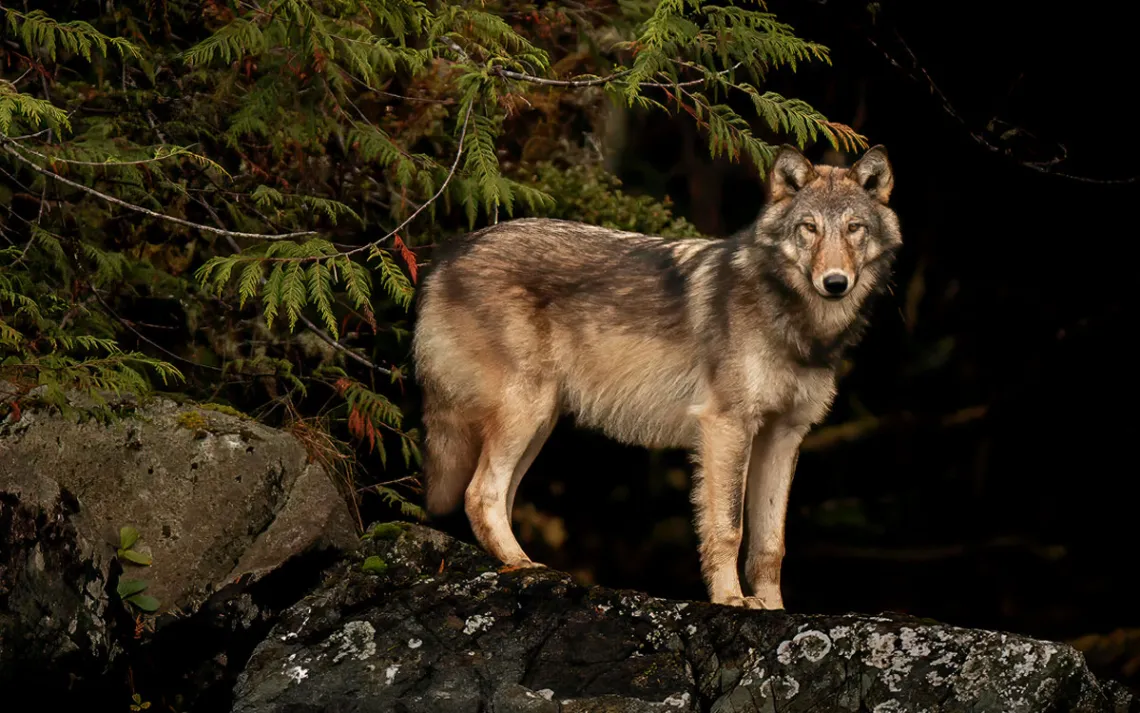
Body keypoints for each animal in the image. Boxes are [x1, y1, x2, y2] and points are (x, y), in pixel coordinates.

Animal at [411, 144, 901, 609]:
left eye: (854, 228)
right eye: (809, 228)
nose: (835, 282)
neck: (796, 324)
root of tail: (447, 253)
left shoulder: (783, 435)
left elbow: (770, 546)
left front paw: (773, 608)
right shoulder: (727, 426)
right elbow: (728, 529)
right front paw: (731, 600)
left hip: (540, 423)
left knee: (498, 496)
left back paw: (516, 564)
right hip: (525, 413)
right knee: (479, 494)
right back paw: (524, 565)